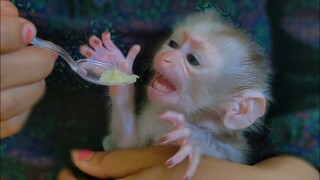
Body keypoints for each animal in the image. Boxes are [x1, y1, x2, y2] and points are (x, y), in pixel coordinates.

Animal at [80, 8, 270, 180]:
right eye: (174, 44)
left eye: (192, 59)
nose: (167, 56)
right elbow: (127, 144)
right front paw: (115, 66)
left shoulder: (237, 148)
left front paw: (196, 139)